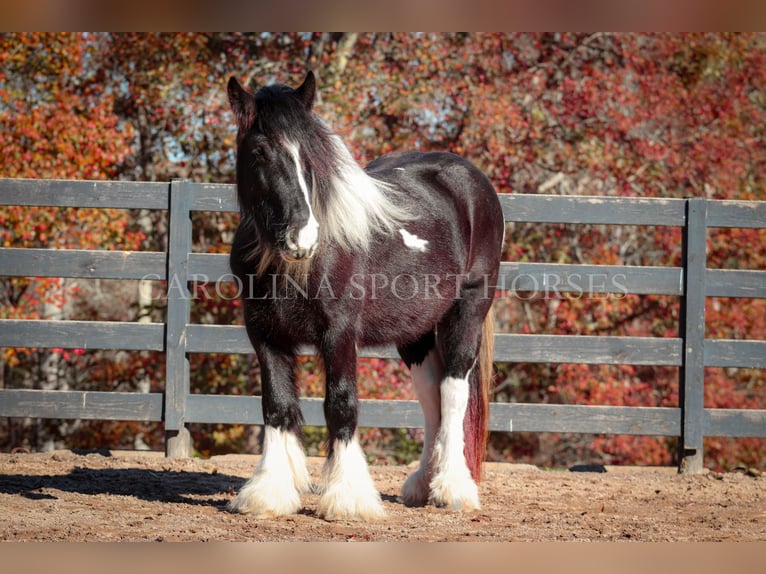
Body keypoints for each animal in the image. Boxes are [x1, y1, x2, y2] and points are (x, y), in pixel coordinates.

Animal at [225, 71, 508, 520]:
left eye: (313, 156)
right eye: (259, 152)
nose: (302, 237)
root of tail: (472, 181)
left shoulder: (339, 334)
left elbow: (341, 405)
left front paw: (349, 498)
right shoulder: (265, 335)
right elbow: (277, 406)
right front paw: (269, 491)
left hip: (468, 311)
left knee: (453, 389)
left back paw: (452, 488)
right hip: (415, 331)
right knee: (431, 394)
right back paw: (422, 484)